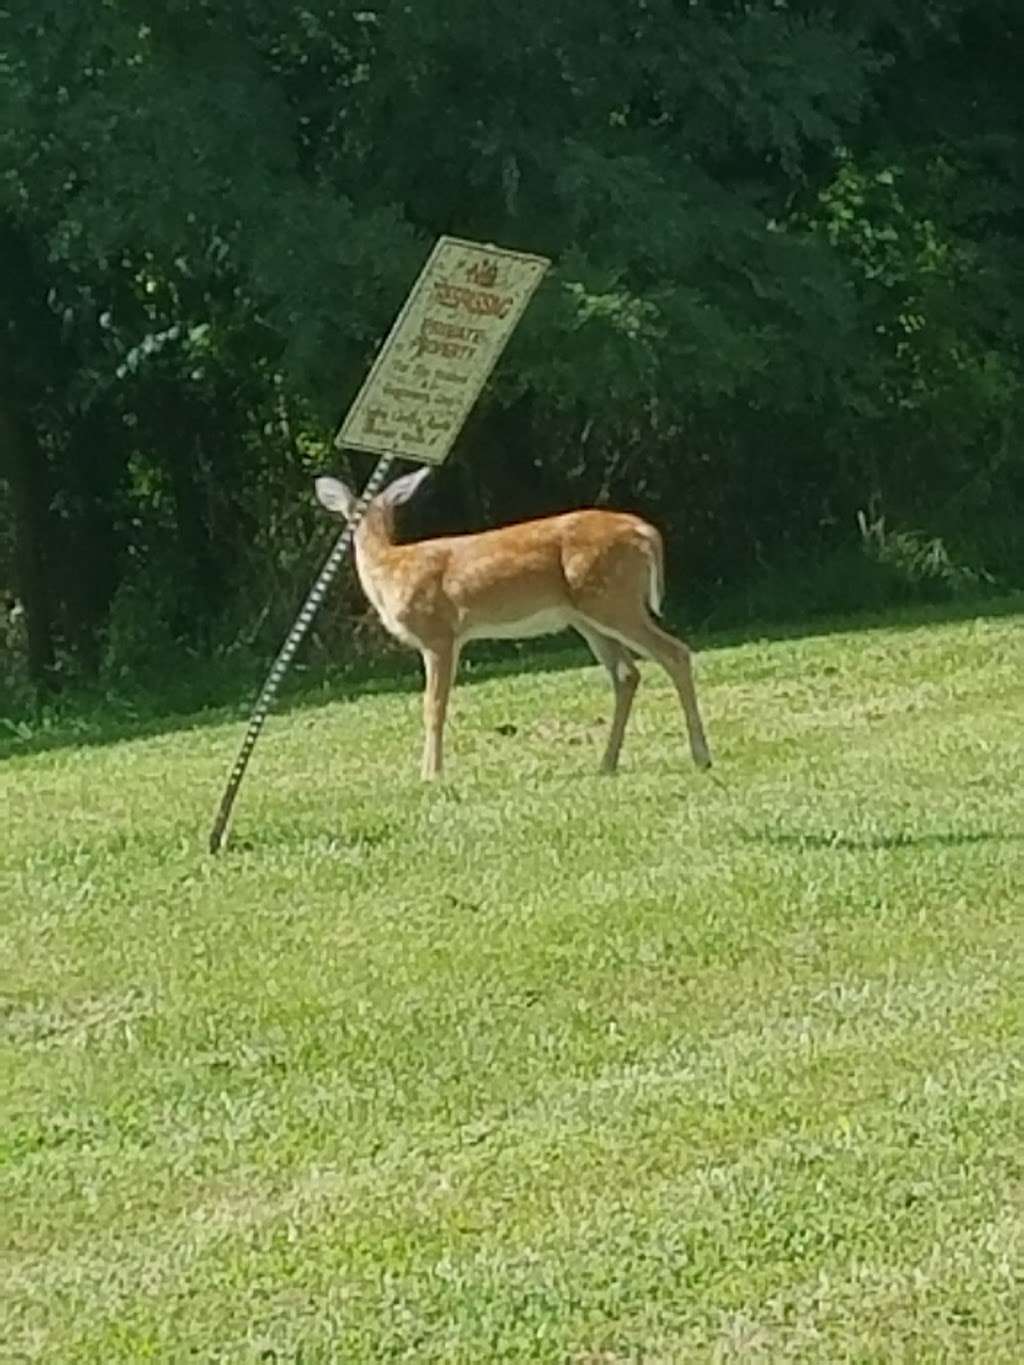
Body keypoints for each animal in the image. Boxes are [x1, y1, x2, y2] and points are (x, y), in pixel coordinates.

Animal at [315, 466, 715, 780]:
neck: (390, 568)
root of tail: (647, 532)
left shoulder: (439, 633)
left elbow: (434, 706)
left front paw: (431, 775)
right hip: (589, 616)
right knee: (627, 674)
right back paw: (607, 763)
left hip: (614, 600)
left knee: (675, 653)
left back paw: (701, 756)